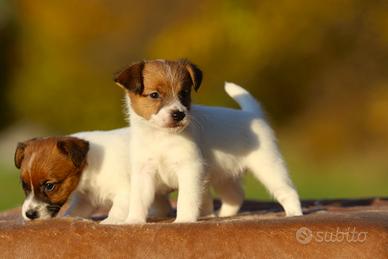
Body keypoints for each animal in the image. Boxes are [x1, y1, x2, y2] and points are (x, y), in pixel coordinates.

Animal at [115, 58, 304, 223]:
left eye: (184, 93)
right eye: (154, 95)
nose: (179, 114)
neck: (162, 137)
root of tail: (252, 114)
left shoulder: (190, 168)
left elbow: (186, 199)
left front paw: (183, 220)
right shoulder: (144, 172)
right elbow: (138, 200)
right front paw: (133, 221)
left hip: (269, 167)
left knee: (288, 191)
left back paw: (294, 214)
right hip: (225, 176)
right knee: (235, 196)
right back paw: (224, 215)